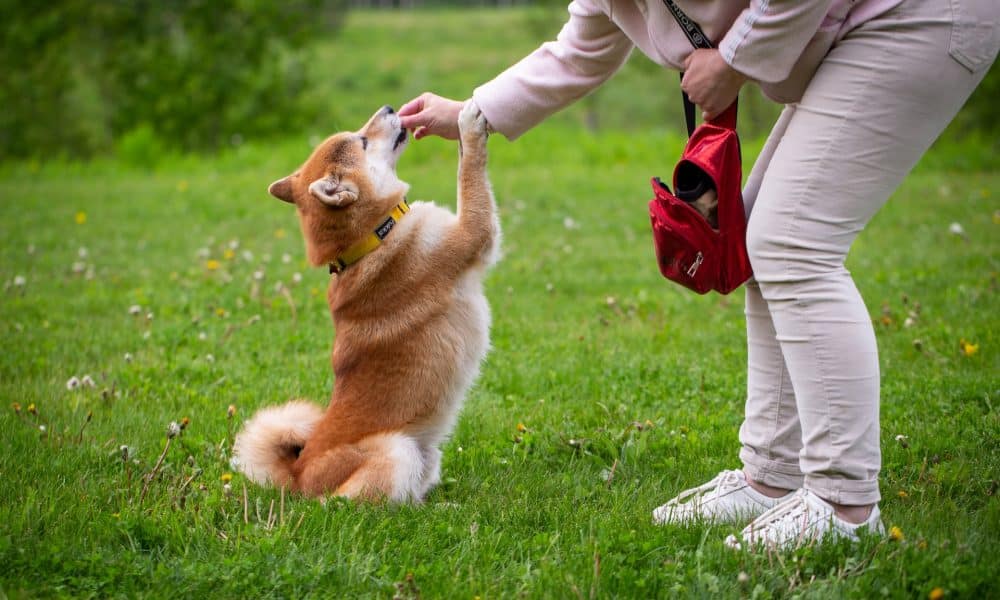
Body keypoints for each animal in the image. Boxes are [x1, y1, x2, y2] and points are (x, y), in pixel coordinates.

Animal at [234, 99, 500, 502]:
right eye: (362, 140)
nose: (390, 107)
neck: (374, 237)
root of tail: (297, 477)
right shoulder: (473, 233)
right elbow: (468, 171)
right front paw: (469, 125)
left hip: (424, 455)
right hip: (396, 450)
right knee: (352, 503)